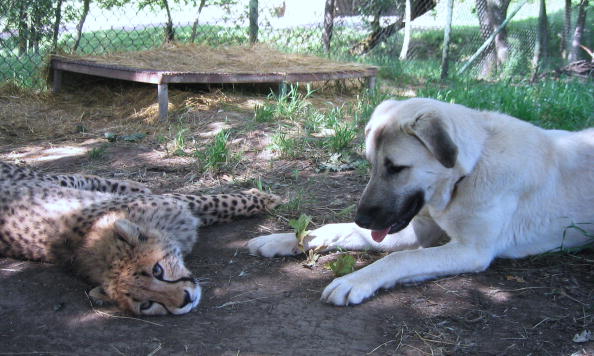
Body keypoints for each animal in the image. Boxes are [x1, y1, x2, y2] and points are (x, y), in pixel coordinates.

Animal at [0, 161, 280, 314]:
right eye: (146, 304)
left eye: (157, 270)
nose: (185, 300)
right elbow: (218, 202)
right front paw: (260, 197)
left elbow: (218, 201)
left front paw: (264, 197)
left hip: (42, 179)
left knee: (75, 177)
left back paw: (131, 184)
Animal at [246, 97, 592, 306]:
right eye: (371, 164)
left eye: (396, 167)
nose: (363, 220)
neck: (468, 170)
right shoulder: (418, 229)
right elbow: (334, 229)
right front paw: (283, 239)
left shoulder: (472, 250)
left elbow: (401, 260)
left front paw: (355, 280)